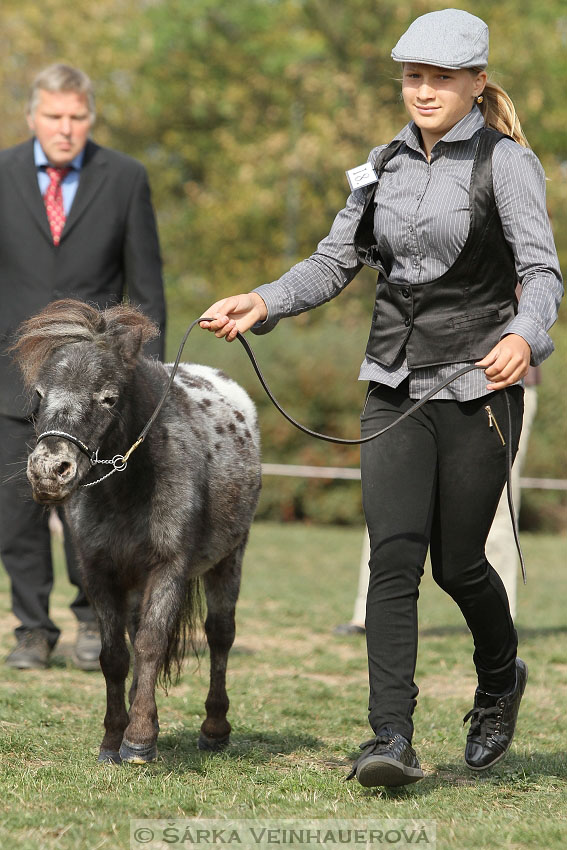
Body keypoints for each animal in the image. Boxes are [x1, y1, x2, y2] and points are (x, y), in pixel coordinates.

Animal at [13, 298, 262, 760]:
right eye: (38, 397)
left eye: (109, 397)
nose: (50, 471)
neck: (128, 491)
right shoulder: (101, 572)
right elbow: (114, 654)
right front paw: (113, 738)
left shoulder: (168, 567)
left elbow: (150, 644)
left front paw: (140, 740)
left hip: (228, 559)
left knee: (220, 636)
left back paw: (214, 729)